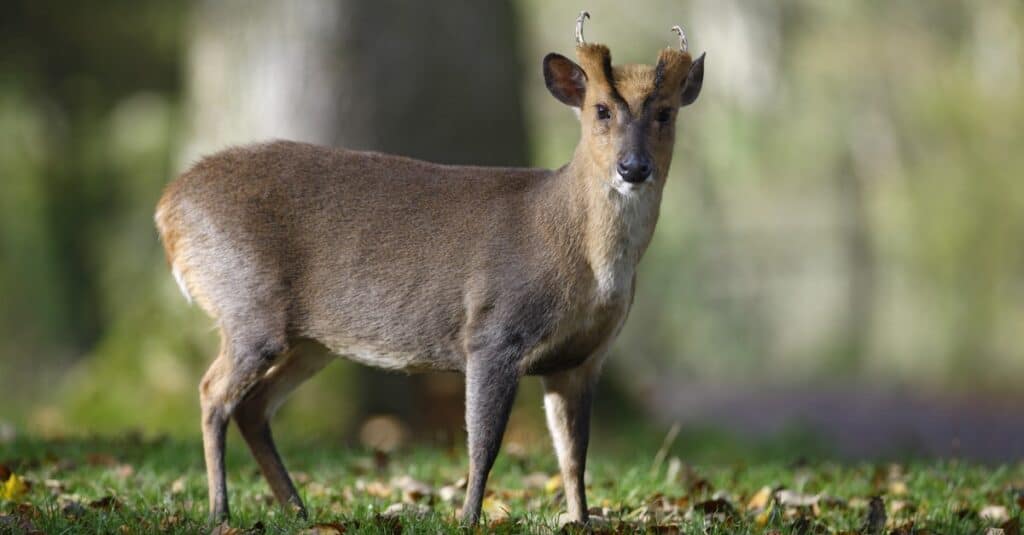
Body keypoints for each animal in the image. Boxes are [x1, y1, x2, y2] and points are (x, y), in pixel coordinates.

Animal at [157, 13, 704, 524]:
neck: (581, 255)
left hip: (312, 342)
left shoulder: (583, 358)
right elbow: (484, 444)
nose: (633, 168)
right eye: (601, 110)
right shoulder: (492, 332)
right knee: (212, 393)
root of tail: (168, 208)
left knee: (252, 406)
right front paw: (469, 519)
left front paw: (581, 520)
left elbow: (574, 455)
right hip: (247, 305)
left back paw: (297, 509)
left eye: (665, 113)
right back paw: (221, 512)